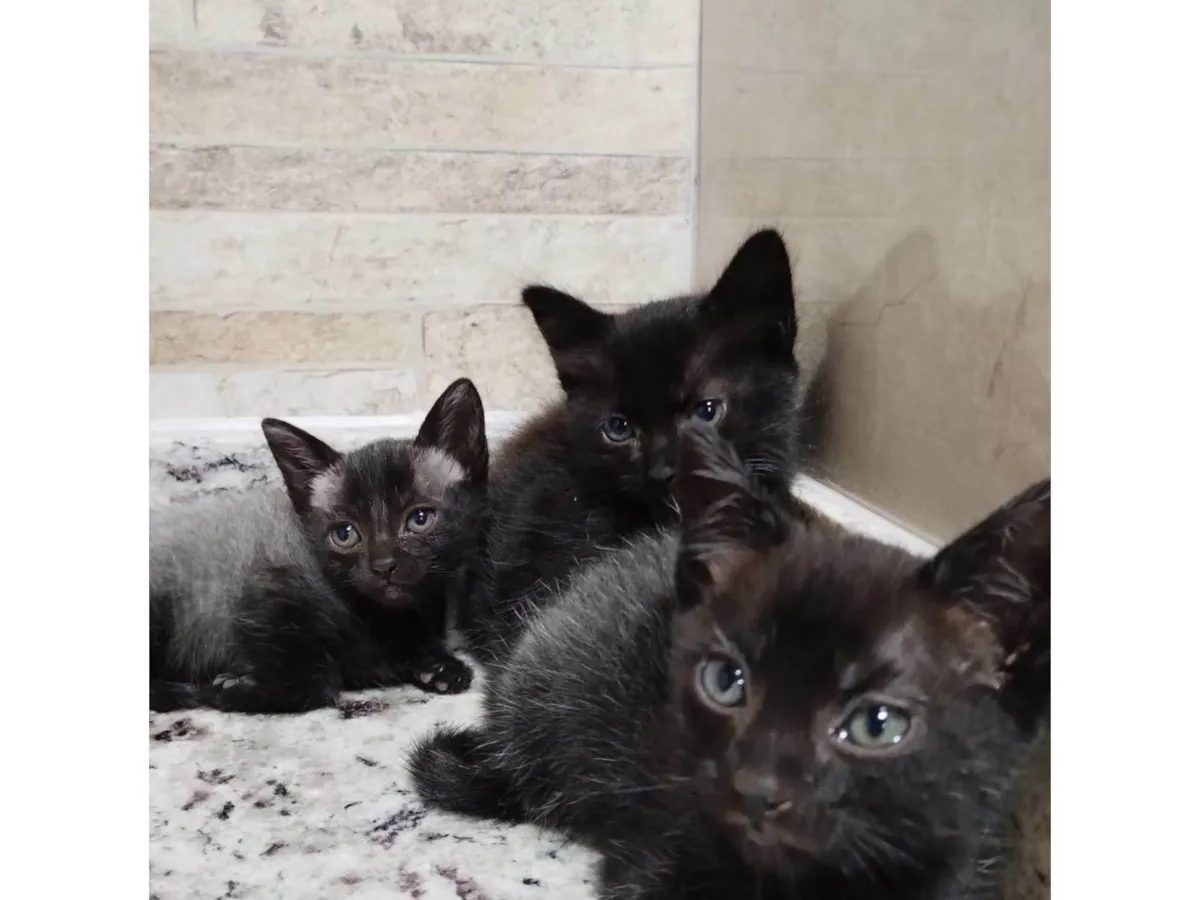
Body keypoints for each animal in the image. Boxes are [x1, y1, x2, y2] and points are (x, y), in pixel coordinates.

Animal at [149, 378, 489, 714]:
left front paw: (439, 668)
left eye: (419, 519)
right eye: (344, 534)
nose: (383, 566)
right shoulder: (263, 590)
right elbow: (316, 682)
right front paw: (233, 686)